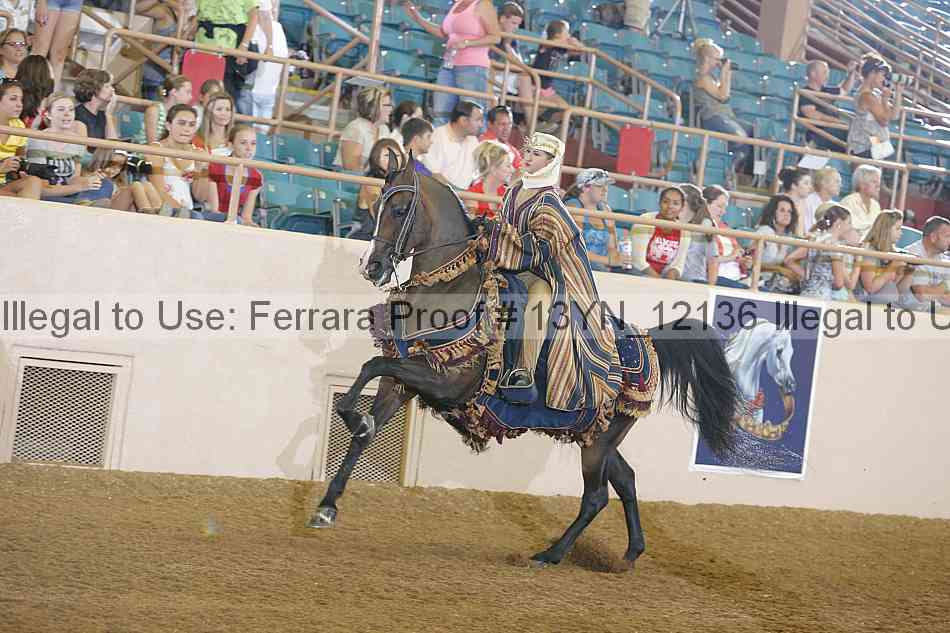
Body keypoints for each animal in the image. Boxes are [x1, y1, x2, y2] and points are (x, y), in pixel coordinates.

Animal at [308, 157, 741, 567]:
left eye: (399, 209)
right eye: (377, 205)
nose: (372, 266)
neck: (451, 289)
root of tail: (644, 341)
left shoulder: (446, 382)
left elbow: (371, 367)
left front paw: (353, 423)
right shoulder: (402, 381)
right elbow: (365, 414)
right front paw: (328, 503)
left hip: (598, 442)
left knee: (597, 496)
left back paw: (550, 554)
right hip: (597, 435)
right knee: (627, 480)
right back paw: (630, 553)